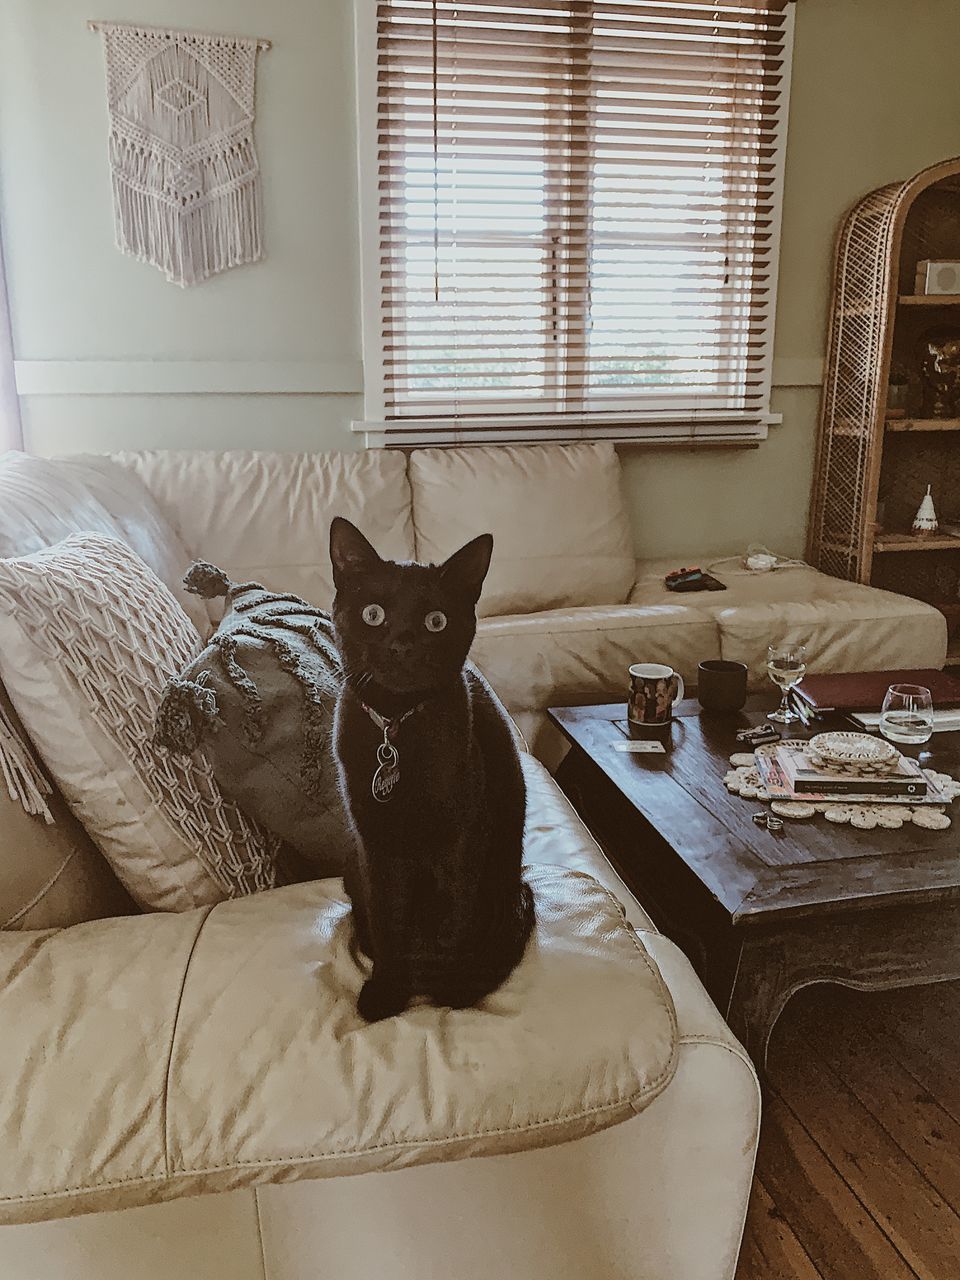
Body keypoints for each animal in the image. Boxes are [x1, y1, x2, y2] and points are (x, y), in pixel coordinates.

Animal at [330, 514, 535, 1024]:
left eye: (436, 621)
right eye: (373, 614)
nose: (403, 645)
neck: (399, 728)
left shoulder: (462, 838)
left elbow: (454, 918)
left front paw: (448, 990)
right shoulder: (375, 843)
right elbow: (389, 919)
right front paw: (387, 990)